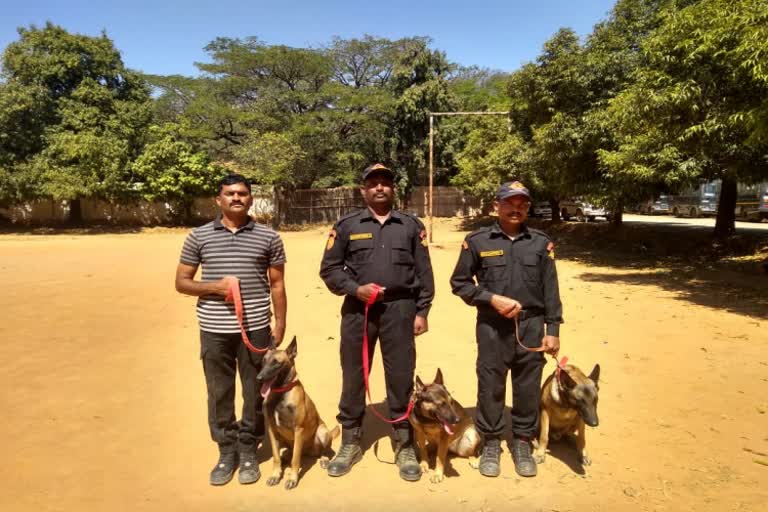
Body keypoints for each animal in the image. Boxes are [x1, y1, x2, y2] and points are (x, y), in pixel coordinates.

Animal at [258, 338, 340, 490]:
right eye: (264, 361)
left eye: (276, 362)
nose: (259, 378)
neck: (280, 393)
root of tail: (308, 451)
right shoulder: (272, 430)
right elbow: (275, 457)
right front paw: (275, 475)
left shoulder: (298, 430)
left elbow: (296, 459)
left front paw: (292, 478)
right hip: (283, 438)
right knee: (288, 453)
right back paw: (285, 457)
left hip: (322, 432)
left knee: (323, 451)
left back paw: (324, 459)